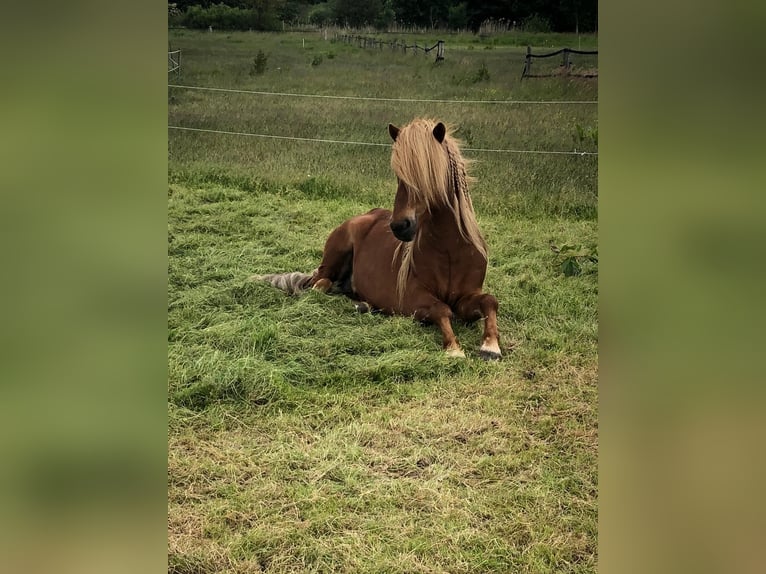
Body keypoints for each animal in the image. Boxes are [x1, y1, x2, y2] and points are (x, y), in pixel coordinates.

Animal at [254, 117, 504, 362]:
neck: (450, 251)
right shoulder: (413, 299)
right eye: (398, 175)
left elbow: (489, 300)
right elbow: (442, 309)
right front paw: (454, 349)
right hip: (334, 258)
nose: (400, 226)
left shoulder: (467, 296)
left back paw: (364, 304)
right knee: (320, 283)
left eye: (427, 172)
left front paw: (490, 346)